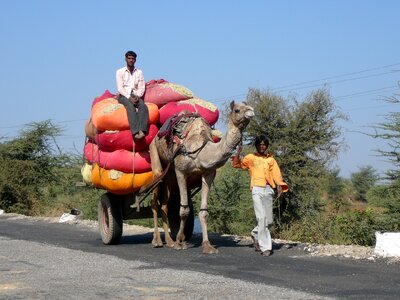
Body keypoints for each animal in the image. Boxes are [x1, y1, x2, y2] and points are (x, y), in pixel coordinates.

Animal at [148, 101, 255, 253]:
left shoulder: (207, 174)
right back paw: (157, 241)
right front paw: (180, 243)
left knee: (164, 204)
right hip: (155, 158)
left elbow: (204, 212)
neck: (201, 150)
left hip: (169, 175)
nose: (251, 111)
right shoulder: (181, 172)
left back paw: (169, 241)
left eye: (249, 106)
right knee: (154, 201)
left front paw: (207, 246)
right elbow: (184, 210)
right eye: (237, 110)